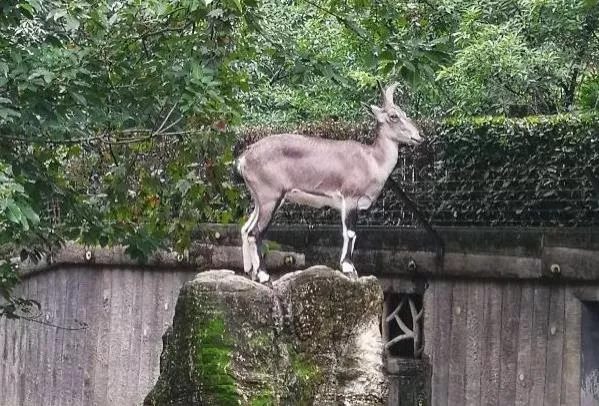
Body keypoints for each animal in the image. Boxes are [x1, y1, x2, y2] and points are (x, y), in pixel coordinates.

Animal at [237, 83, 424, 284]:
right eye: (393, 116)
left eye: (404, 113)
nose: (419, 136)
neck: (372, 161)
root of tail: (244, 158)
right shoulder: (350, 198)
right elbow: (350, 232)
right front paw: (349, 268)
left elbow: (352, 233)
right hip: (270, 197)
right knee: (256, 232)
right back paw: (264, 276)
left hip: (260, 200)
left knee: (246, 229)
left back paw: (251, 272)